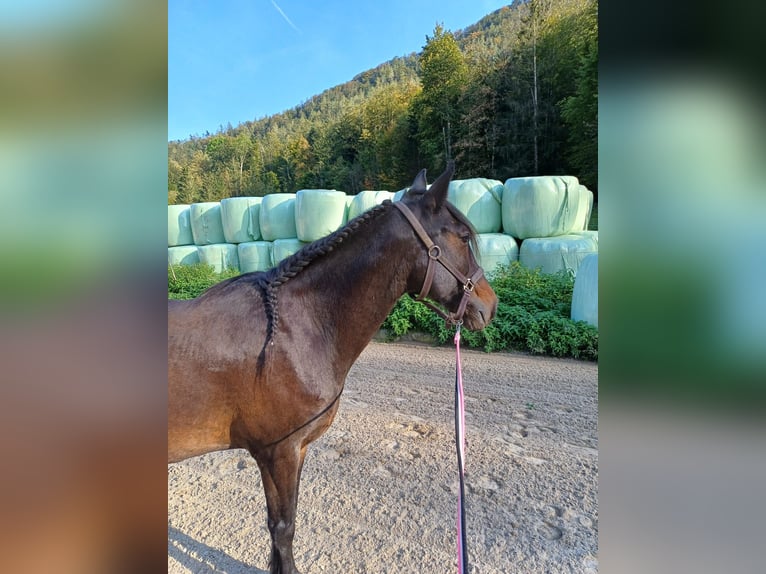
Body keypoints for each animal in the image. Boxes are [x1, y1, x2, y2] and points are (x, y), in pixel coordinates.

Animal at [170, 162, 498, 574]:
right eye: (463, 236)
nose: (490, 305)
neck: (295, 328)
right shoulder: (280, 453)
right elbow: (283, 528)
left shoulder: (285, 453)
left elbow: (278, 527)